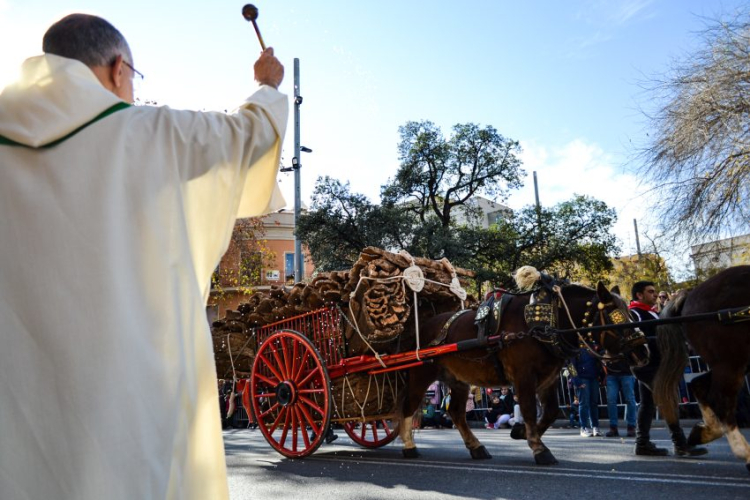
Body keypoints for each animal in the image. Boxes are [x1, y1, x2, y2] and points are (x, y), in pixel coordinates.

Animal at [396, 274, 648, 464]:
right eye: (616, 316)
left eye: (630, 313)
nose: (643, 352)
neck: (545, 320)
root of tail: (422, 327)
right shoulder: (523, 375)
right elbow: (528, 409)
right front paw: (539, 448)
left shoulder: (548, 378)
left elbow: (550, 411)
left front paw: (520, 432)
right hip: (421, 373)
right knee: (409, 406)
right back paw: (409, 445)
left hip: (457, 380)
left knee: (456, 412)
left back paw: (476, 446)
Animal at [652, 266, 750, 472]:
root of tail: (690, 294)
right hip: (730, 360)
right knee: (719, 398)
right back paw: (744, 452)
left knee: (699, 384)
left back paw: (704, 432)